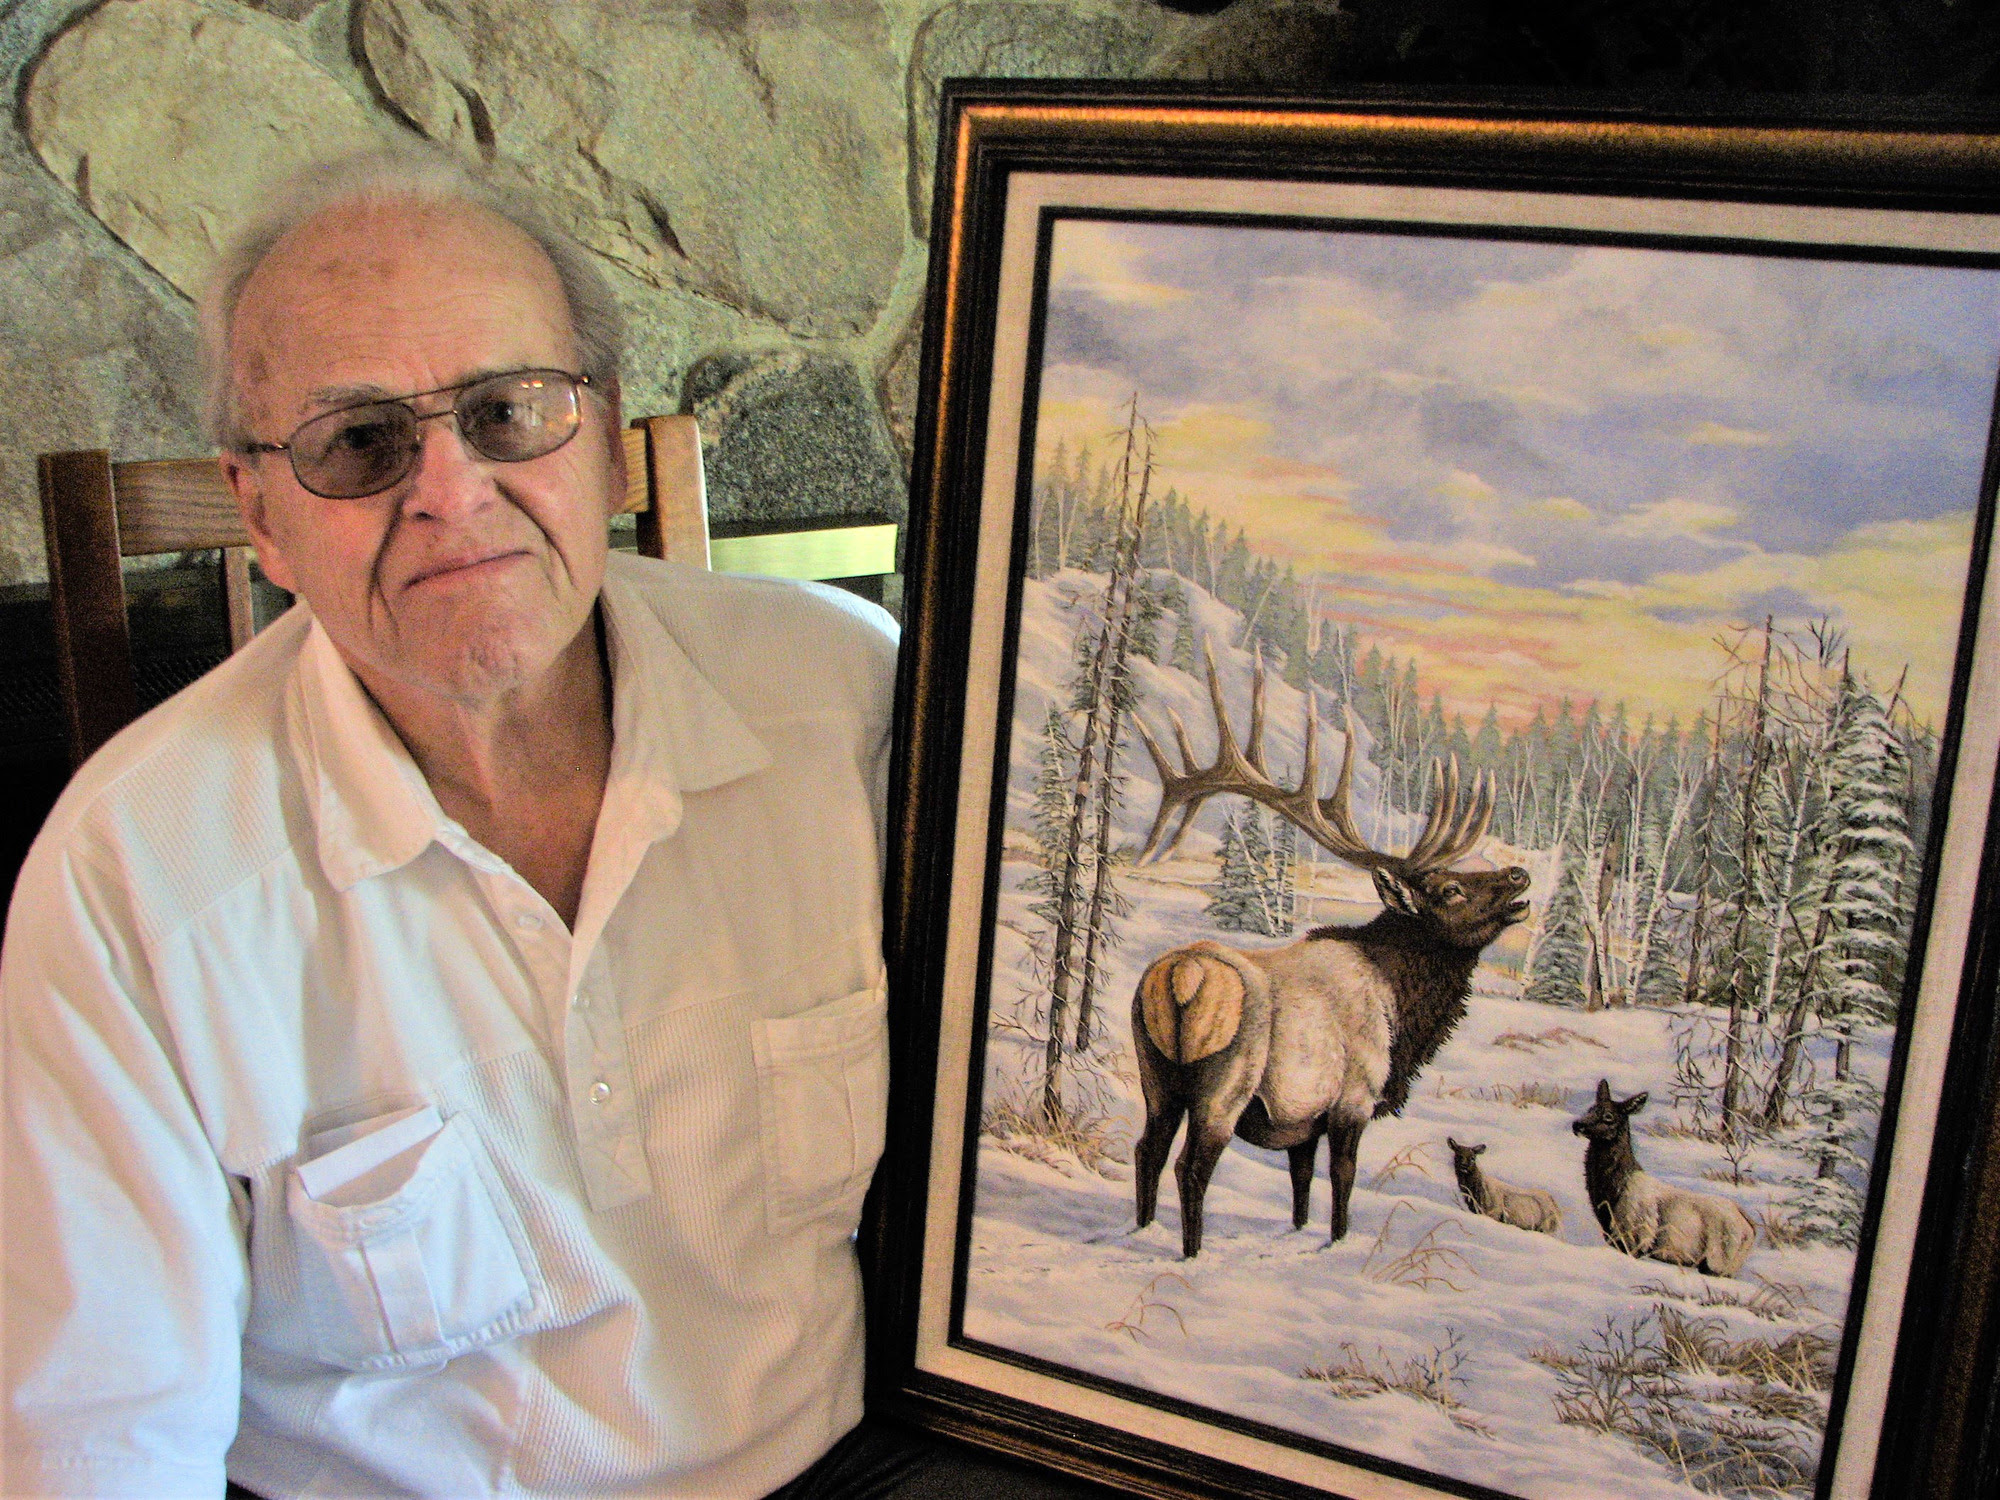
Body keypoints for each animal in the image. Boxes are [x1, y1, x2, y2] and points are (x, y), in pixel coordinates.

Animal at [1128, 648, 1528, 1256]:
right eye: (1450, 890)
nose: (1519, 874)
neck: (1402, 1013)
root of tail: (1179, 977)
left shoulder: (1302, 1121)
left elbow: (1300, 1183)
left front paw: (1297, 1233)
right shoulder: (1352, 1099)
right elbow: (1343, 1180)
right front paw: (1337, 1244)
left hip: (1154, 1073)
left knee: (1146, 1150)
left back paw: (1141, 1230)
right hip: (1226, 1080)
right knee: (1191, 1167)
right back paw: (1191, 1253)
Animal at [1576, 1080, 1752, 1280]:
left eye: (1608, 1116)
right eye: (1590, 1109)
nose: (1577, 1125)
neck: (1610, 1194)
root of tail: (1749, 1226)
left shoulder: (1636, 1238)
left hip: (1718, 1261)